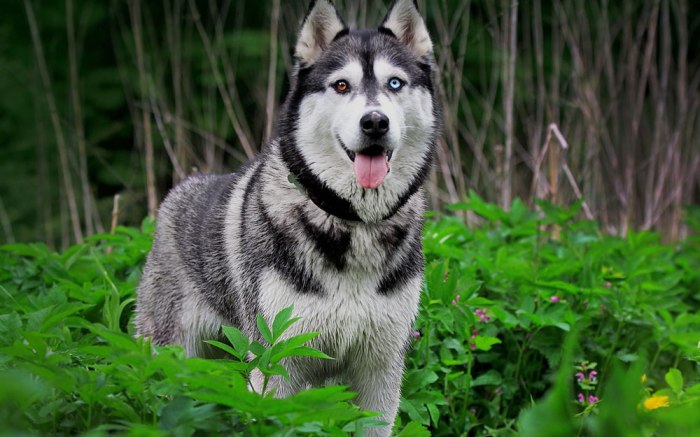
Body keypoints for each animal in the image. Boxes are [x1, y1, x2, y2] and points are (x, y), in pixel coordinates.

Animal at [136, 0, 438, 432]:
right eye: (341, 85)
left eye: (395, 83)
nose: (375, 122)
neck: (353, 223)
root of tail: (178, 191)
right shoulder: (276, 363)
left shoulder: (379, 370)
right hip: (172, 353)